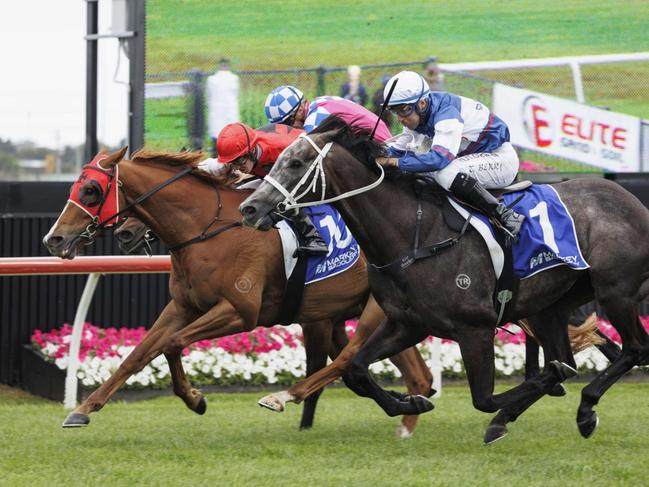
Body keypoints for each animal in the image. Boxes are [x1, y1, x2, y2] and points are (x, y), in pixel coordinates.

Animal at [43, 149, 432, 438]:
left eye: (91, 190)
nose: (54, 239)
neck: (205, 228)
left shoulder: (239, 311)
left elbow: (171, 344)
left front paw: (195, 399)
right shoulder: (182, 306)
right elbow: (138, 355)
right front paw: (83, 409)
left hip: (372, 311)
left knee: (350, 359)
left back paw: (289, 396)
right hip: (375, 315)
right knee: (406, 373)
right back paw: (408, 407)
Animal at [239, 116, 648, 444]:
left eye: (295, 162)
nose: (250, 208)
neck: (413, 235)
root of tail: (631, 200)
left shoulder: (475, 328)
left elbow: (486, 398)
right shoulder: (408, 322)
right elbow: (355, 371)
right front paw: (412, 402)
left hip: (616, 292)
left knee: (633, 349)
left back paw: (584, 408)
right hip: (551, 306)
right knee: (574, 354)